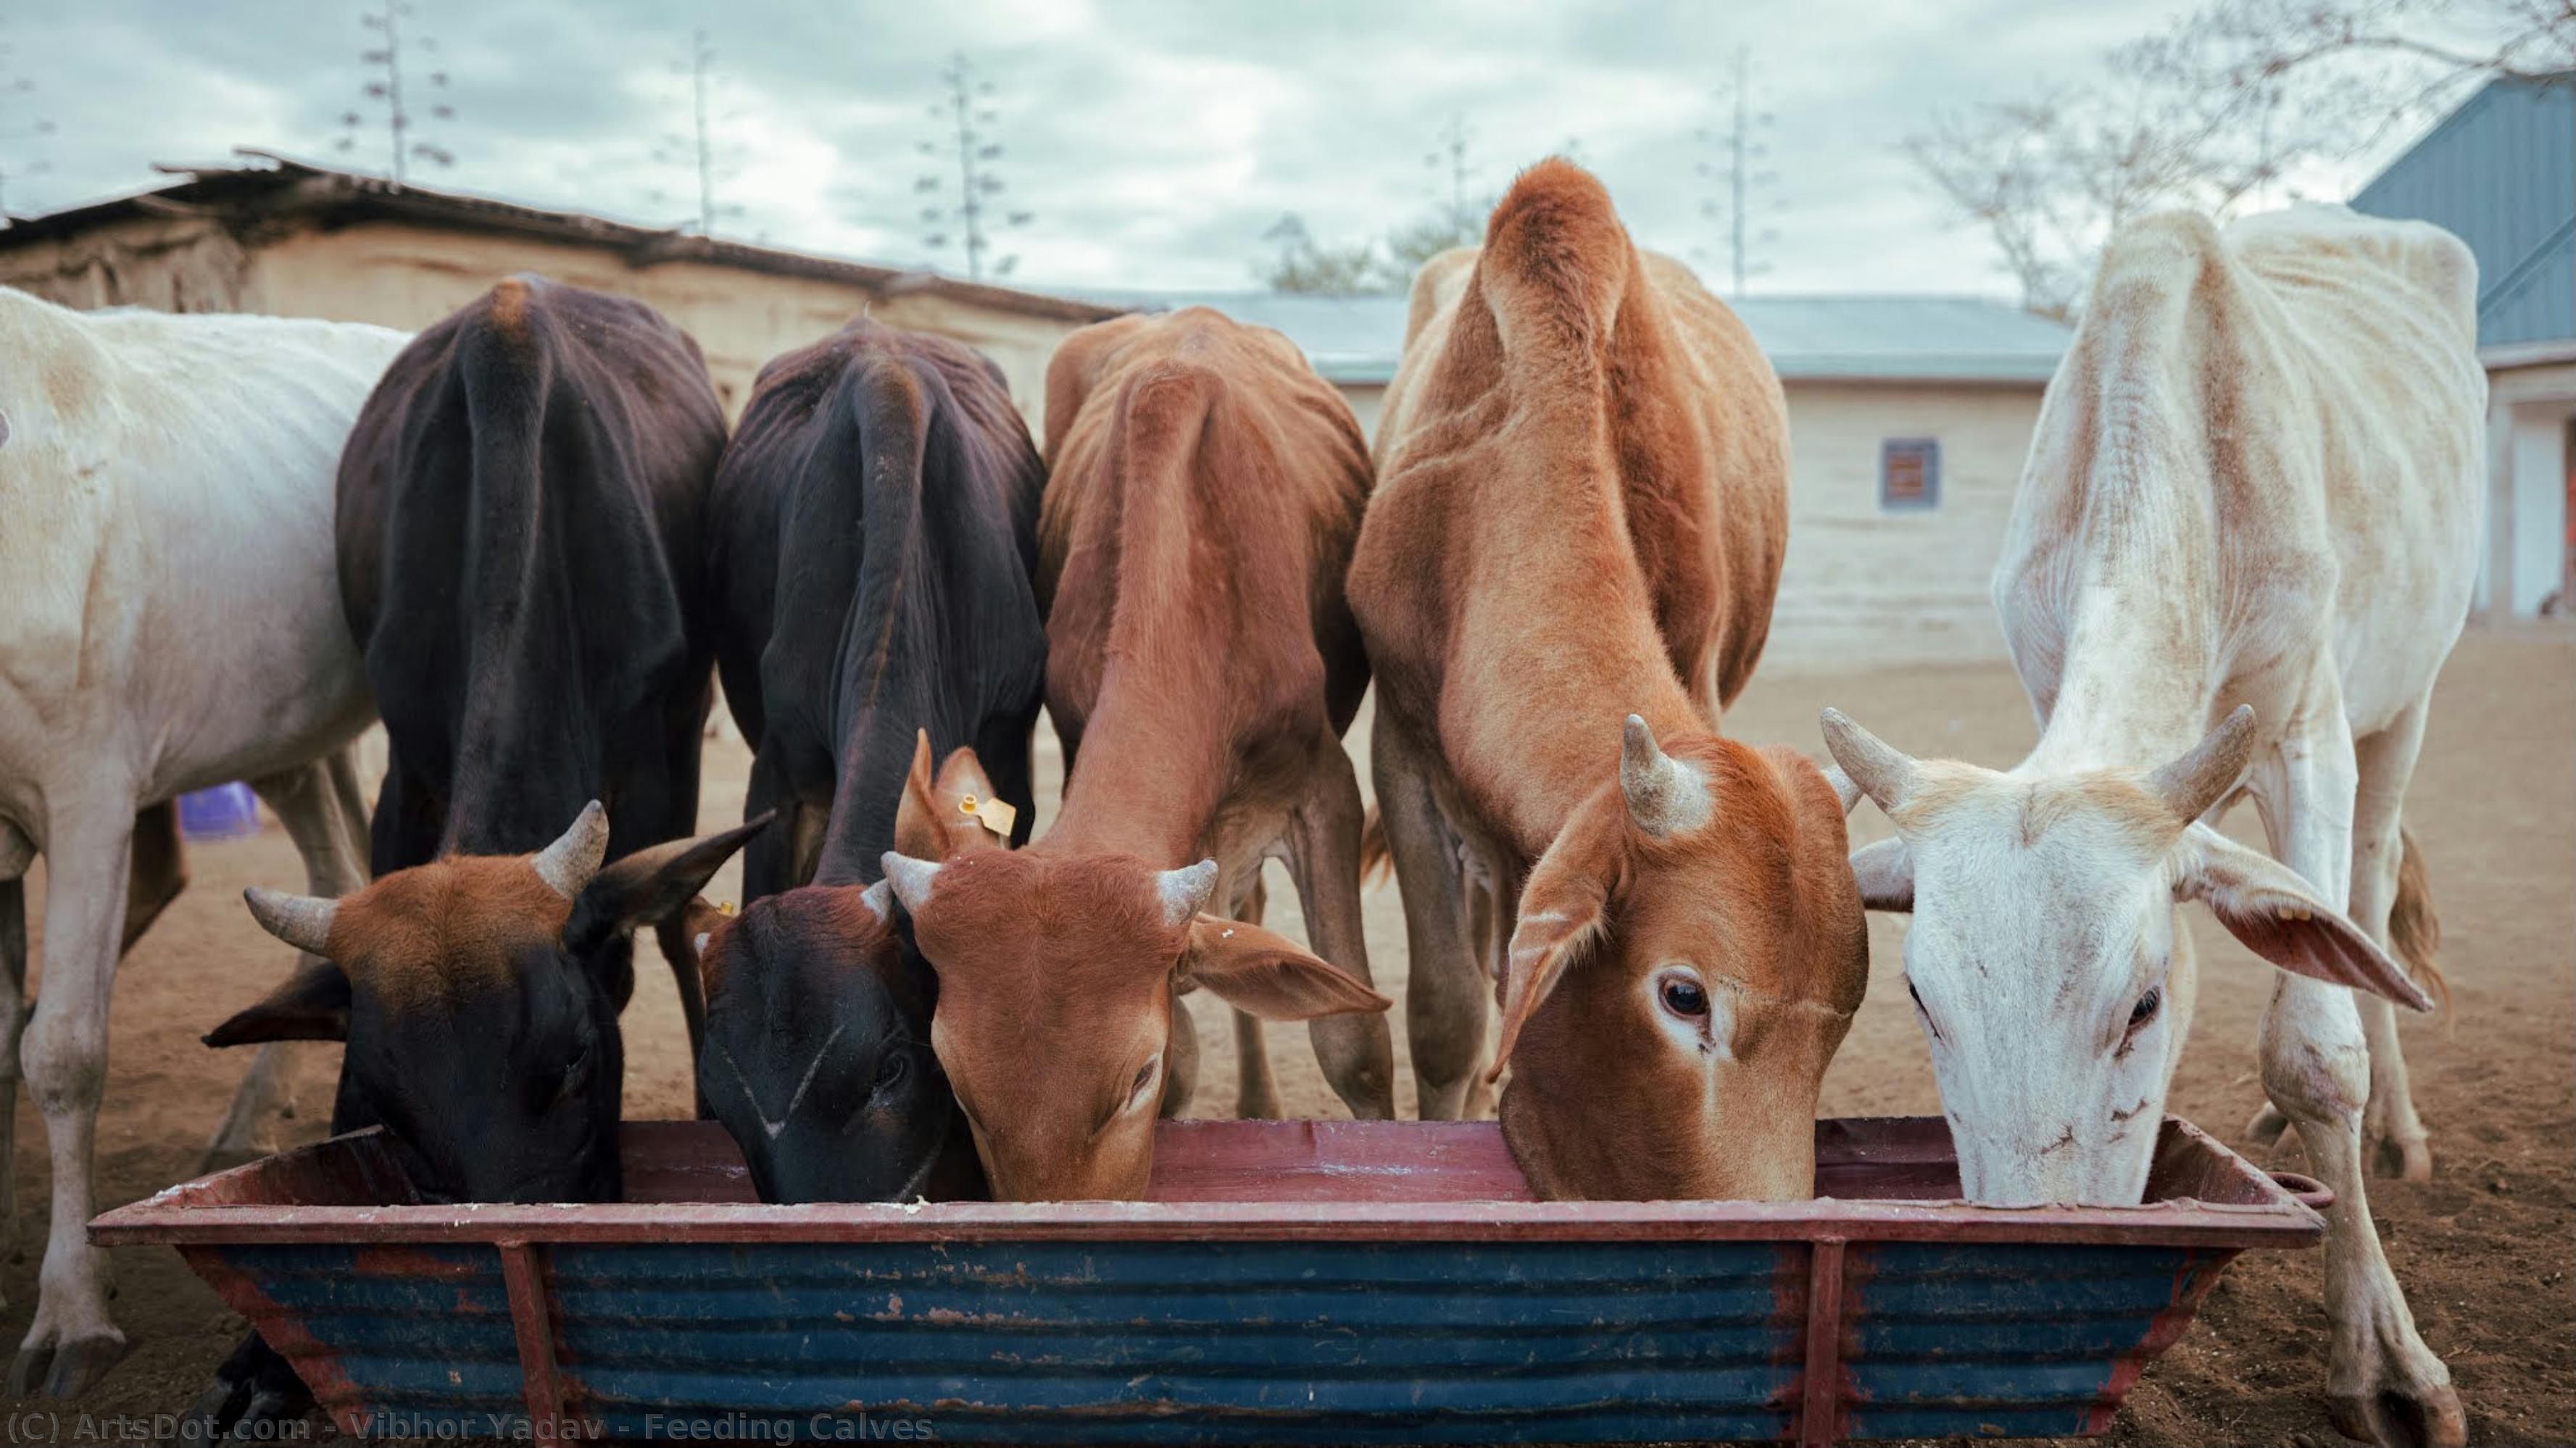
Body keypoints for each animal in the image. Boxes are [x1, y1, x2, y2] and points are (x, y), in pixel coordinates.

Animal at [1819, 205, 2478, 1448]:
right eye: (1920, 998)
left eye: (2140, 1006)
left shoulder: (2307, 725)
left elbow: (2315, 1046)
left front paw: (2384, 1361)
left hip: (2407, 706)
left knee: (2364, 907)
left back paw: (2401, 1130)